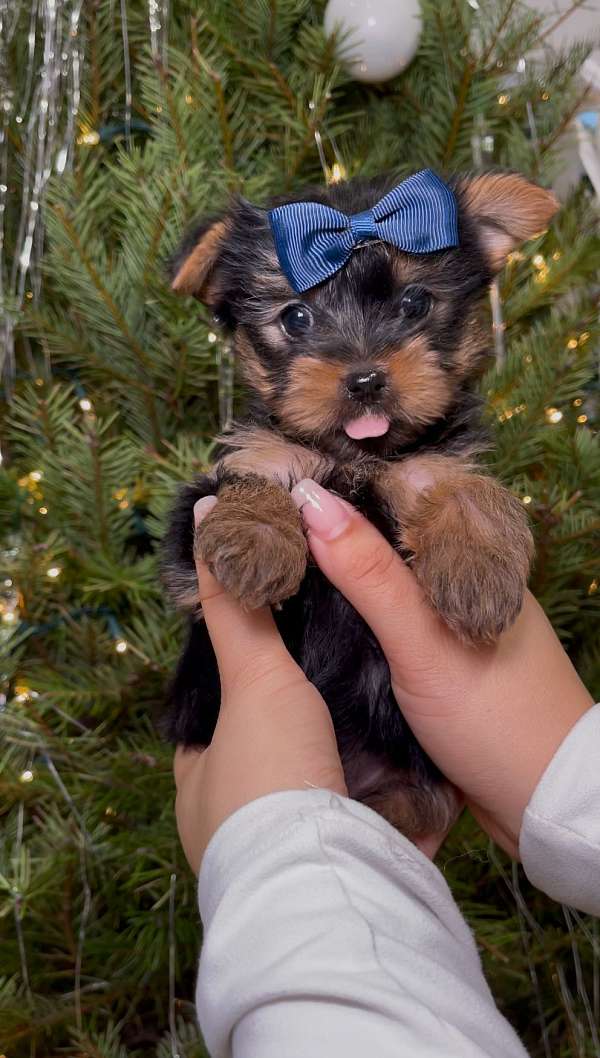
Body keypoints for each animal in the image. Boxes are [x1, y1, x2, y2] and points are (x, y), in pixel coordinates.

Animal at [162, 169, 558, 837]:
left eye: (415, 303)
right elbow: (247, 480)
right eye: (296, 317)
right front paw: (254, 543)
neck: (357, 459)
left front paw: (477, 574)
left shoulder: (435, 462)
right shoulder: (206, 518)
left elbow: (474, 491)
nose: (366, 378)